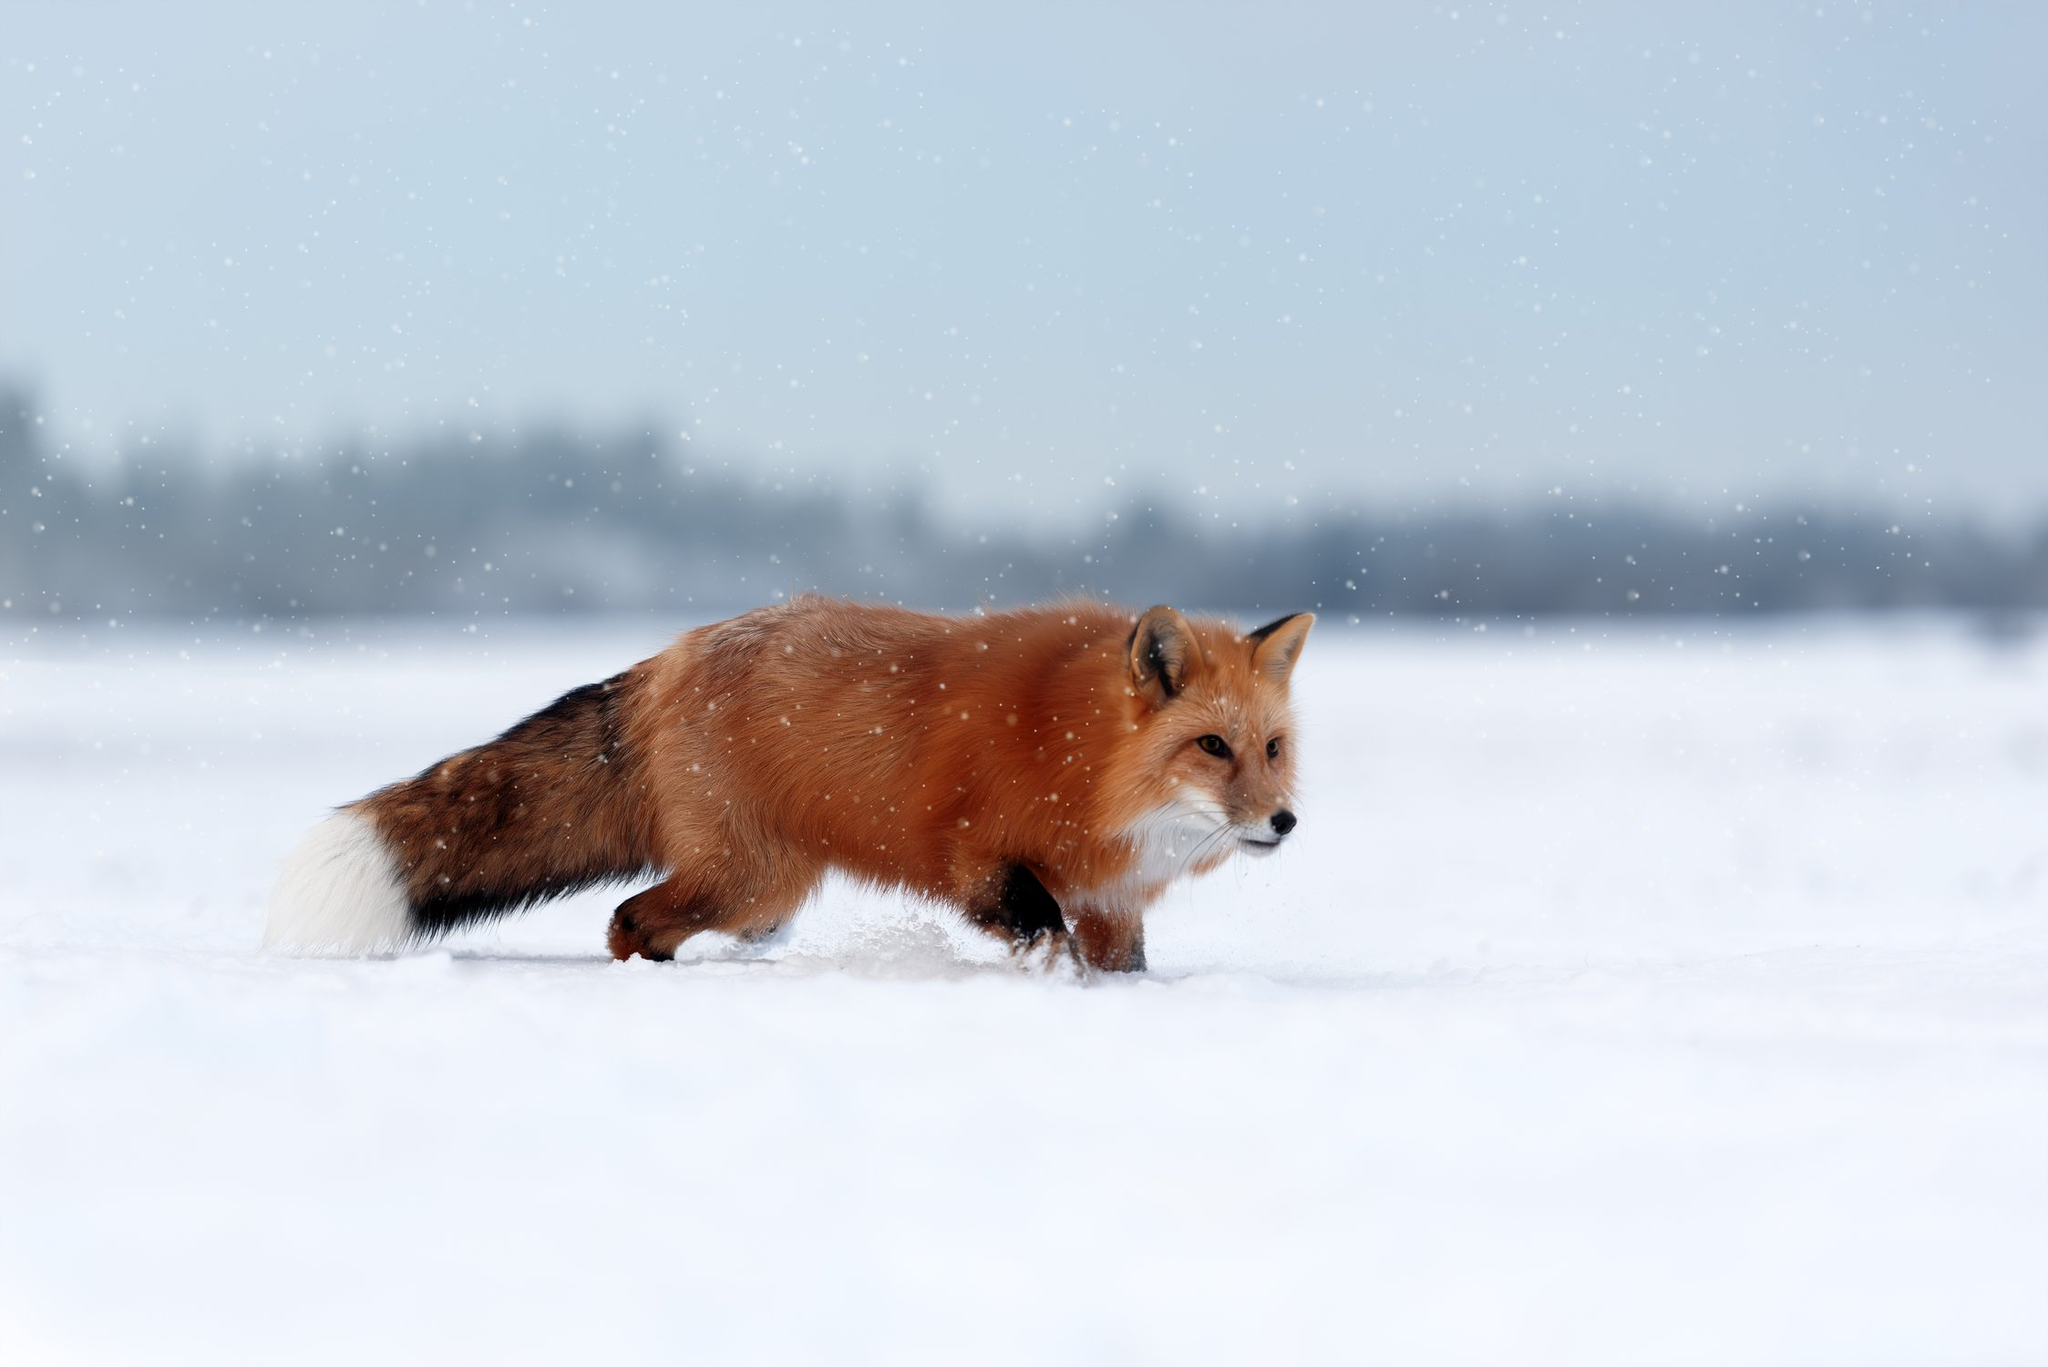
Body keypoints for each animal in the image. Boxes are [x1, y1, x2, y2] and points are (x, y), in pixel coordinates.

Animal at [264, 598, 1310, 971]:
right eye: (1210, 746)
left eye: (1271, 748)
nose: (1285, 822)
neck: (1084, 761)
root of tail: (668, 655)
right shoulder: (980, 859)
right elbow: (1038, 929)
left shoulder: (1111, 900)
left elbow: (1117, 963)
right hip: (743, 876)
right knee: (627, 920)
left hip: (764, 888)